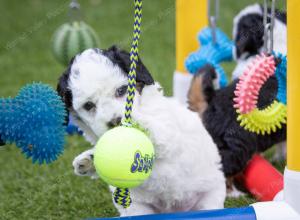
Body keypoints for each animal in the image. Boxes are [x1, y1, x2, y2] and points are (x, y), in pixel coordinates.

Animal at [56, 45, 225, 216]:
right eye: (88, 105)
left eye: (121, 90)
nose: (115, 121)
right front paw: (89, 160)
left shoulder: (167, 128)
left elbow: (159, 133)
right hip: (138, 207)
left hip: (211, 196)